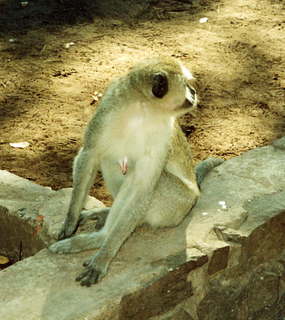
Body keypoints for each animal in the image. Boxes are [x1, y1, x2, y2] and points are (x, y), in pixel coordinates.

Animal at [49, 57, 222, 288]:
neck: (144, 109)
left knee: (139, 178)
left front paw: (104, 255)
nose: (193, 92)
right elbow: (89, 155)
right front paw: (70, 222)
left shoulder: (163, 134)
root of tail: (195, 193)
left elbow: (143, 186)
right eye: (186, 85)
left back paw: (102, 238)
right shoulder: (108, 108)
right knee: (111, 158)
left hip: (178, 204)